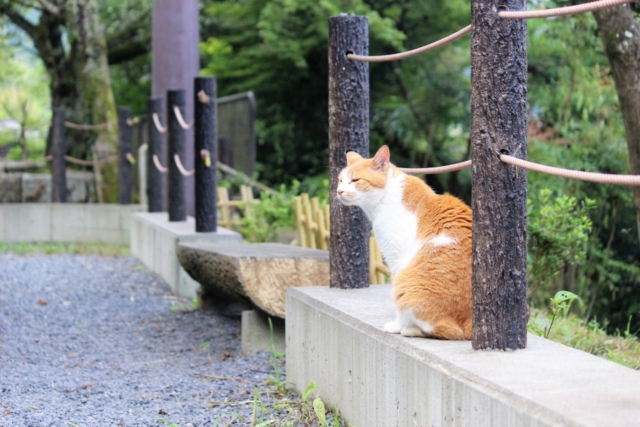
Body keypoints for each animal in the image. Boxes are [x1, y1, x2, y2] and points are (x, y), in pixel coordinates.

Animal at [338, 147, 472, 342]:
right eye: (340, 180)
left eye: (355, 180)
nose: (339, 191)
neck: (386, 198)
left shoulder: (396, 259)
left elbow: (397, 304)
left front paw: (396, 325)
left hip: (408, 282)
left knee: (449, 330)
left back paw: (408, 329)